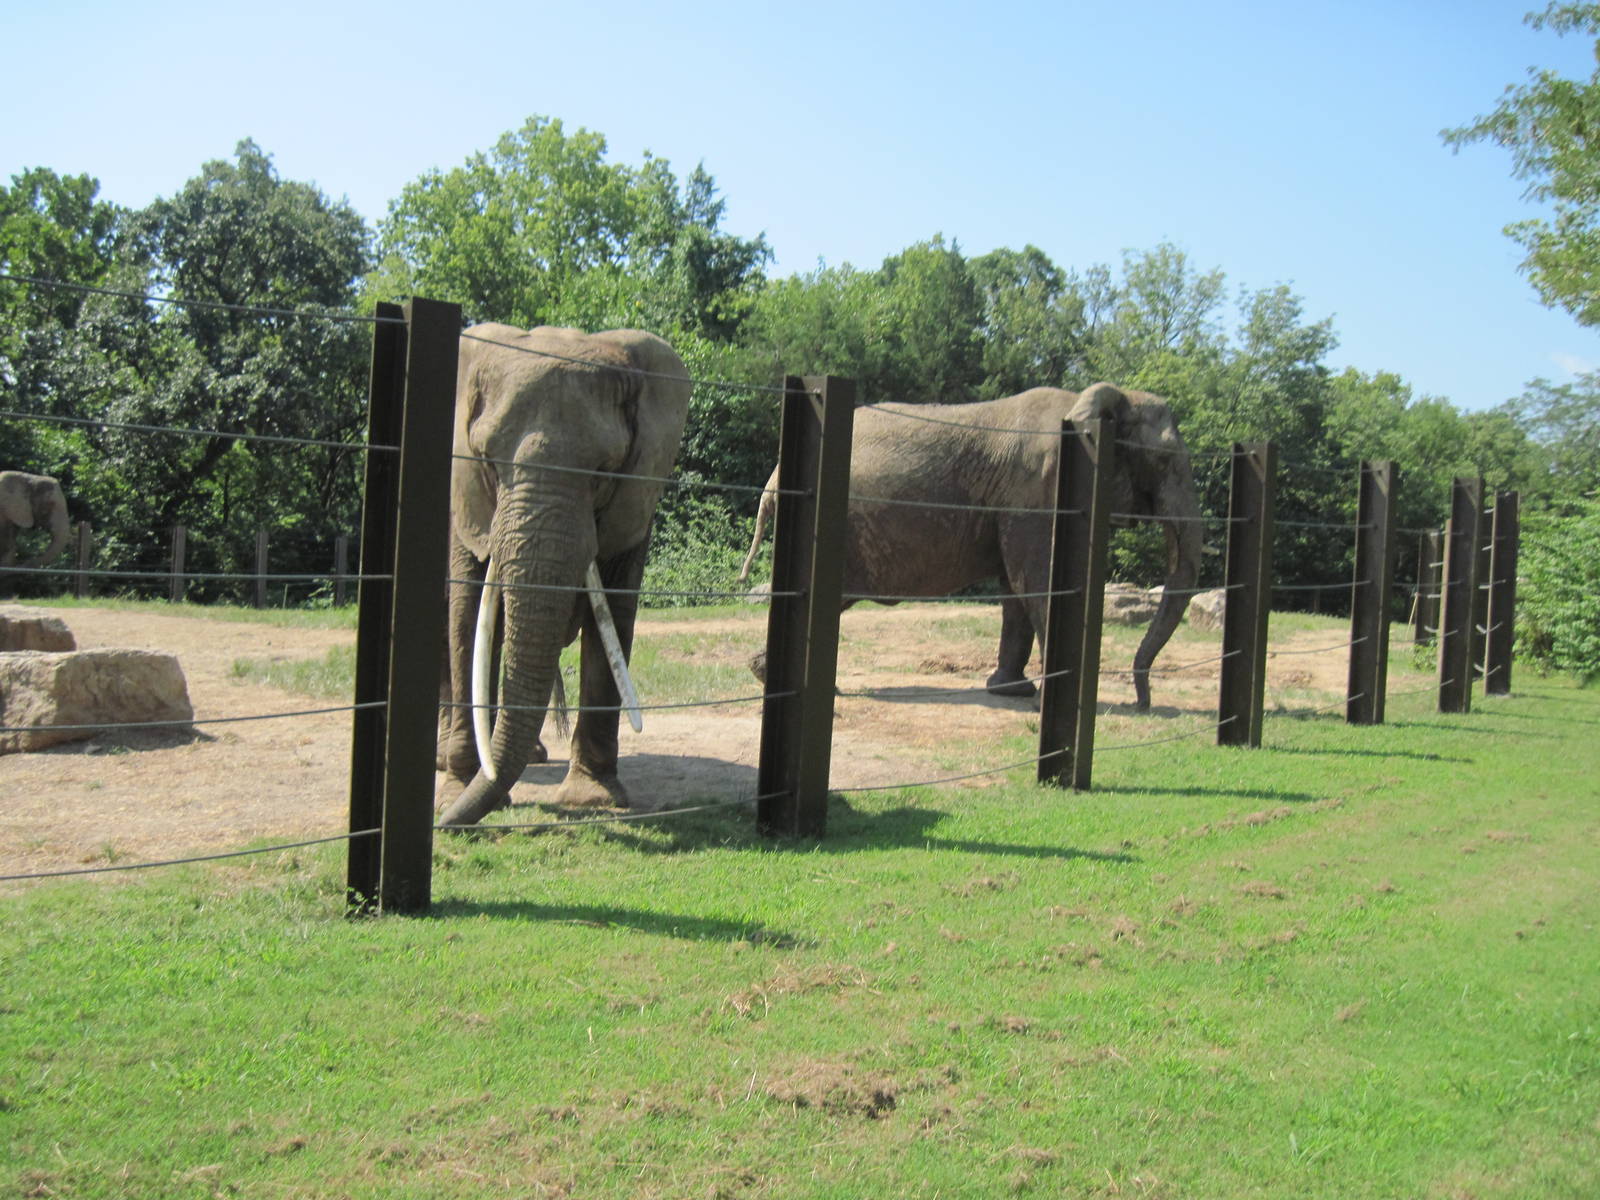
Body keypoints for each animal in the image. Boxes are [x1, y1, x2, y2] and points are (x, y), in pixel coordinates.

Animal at [436, 324, 691, 828]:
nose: (445, 826)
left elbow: (612, 617)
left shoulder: (635, 497)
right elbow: (468, 615)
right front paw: (451, 795)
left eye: (603, 471)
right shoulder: (465, 497)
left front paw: (592, 799)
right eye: (487, 460)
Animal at [737, 383, 1201, 710]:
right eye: (1163, 460)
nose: (1143, 704)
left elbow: (1016, 590)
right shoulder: (1039, 491)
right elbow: (1035, 580)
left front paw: (1011, 692)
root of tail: (774, 479)